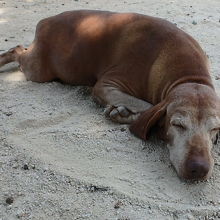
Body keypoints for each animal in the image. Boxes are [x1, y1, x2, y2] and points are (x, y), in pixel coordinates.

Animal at [0, 10, 220, 180]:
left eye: (215, 129)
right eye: (177, 125)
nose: (199, 169)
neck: (186, 75)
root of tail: (46, 20)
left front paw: (124, 114)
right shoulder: (106, 84)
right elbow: (148, 106)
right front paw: (127, 115)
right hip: (37, 71)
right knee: (17, 50)